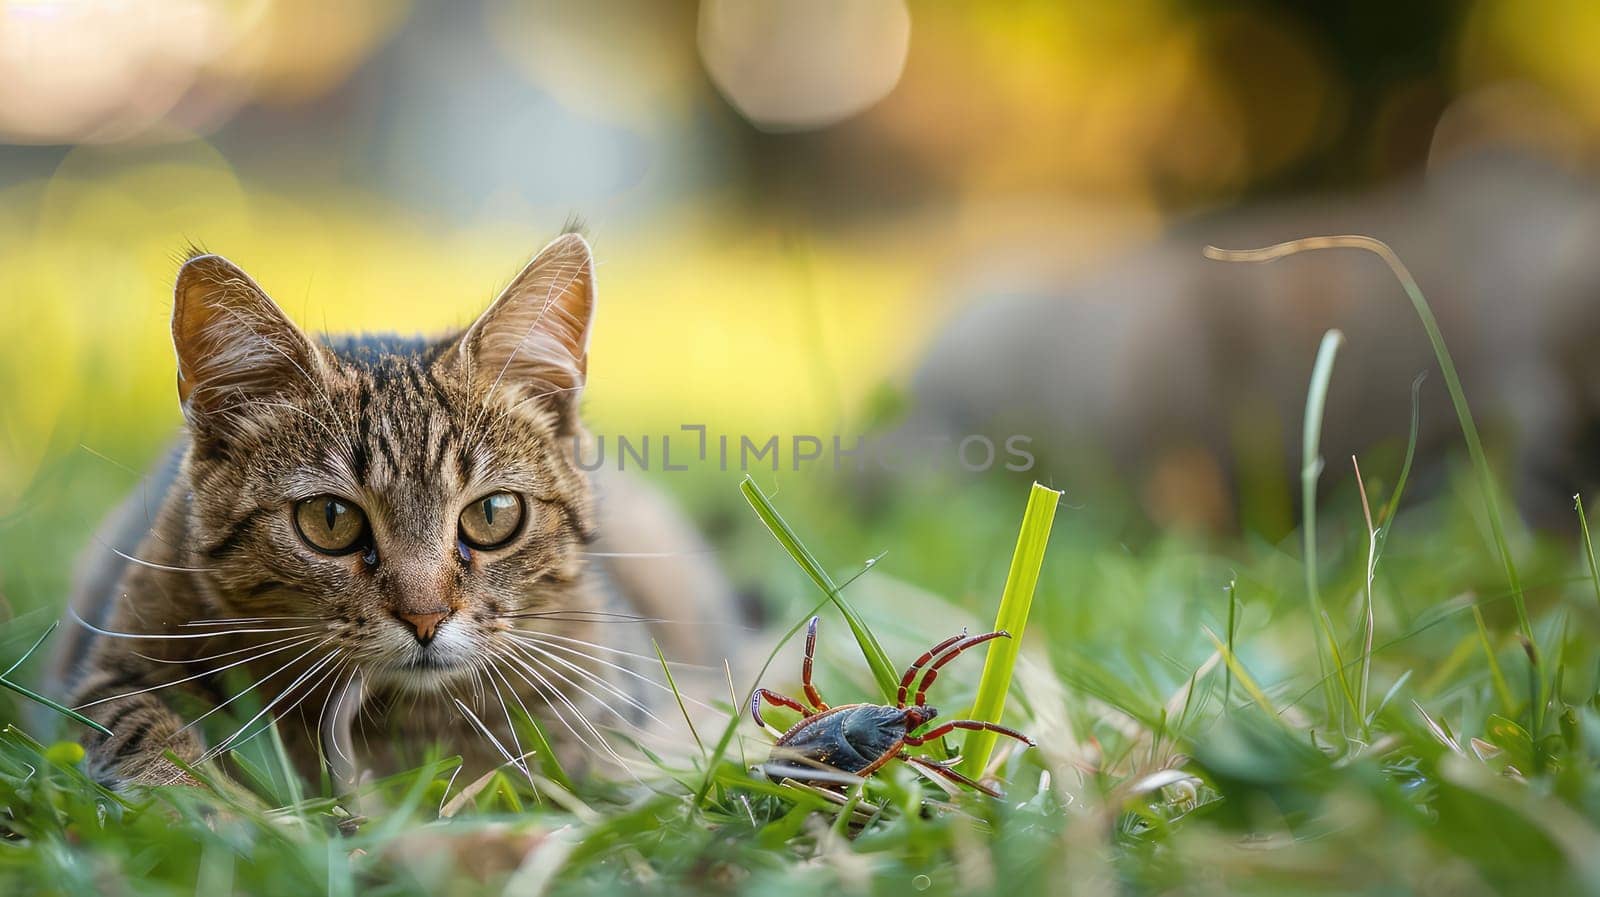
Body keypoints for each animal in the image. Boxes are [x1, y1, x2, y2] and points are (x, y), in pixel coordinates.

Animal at [53, 235, 732, 786]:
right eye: (330, 520)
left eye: (493, 515)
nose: (424, 617)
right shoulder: (101, 670)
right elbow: (143, 732)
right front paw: (208, 807)